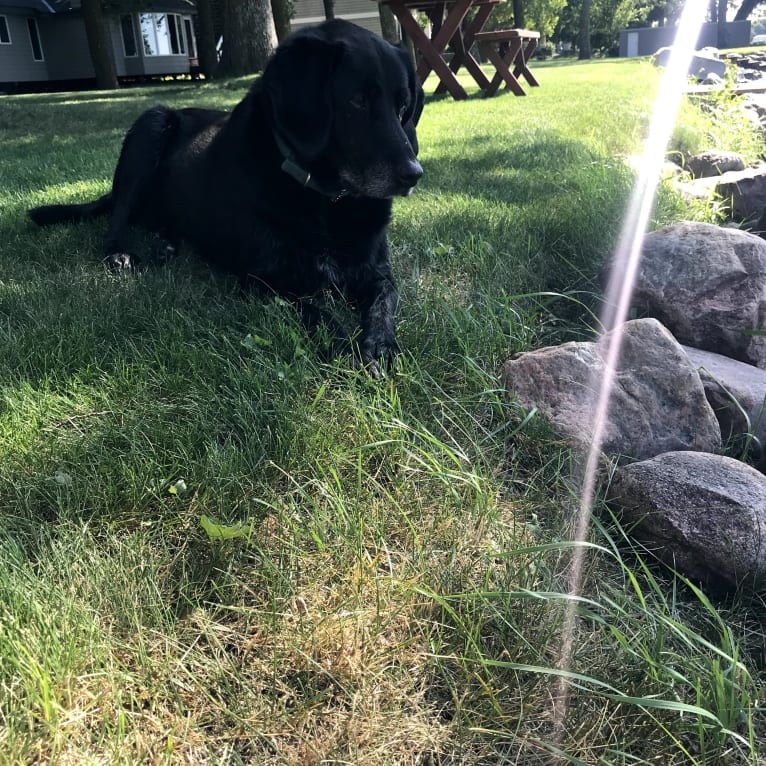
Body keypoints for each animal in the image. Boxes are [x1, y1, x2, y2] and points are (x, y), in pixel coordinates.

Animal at [30, 20, 426, 376]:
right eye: (357, 101)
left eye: (403, 106)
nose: (413, 174)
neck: (326, 202)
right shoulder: (264, 282)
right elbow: (317, 311)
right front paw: (343, 344)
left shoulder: (378, 274)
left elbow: (383, 303)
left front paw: (381, 345)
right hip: (150, 126)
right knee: (118, 216)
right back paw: (119, 253)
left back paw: (168, 245)